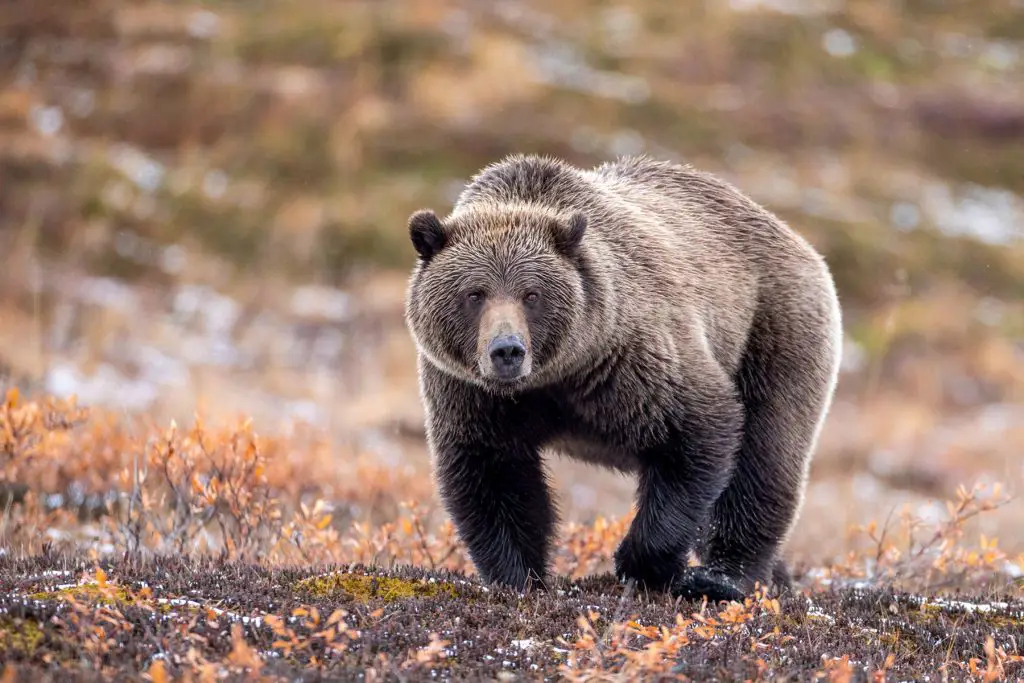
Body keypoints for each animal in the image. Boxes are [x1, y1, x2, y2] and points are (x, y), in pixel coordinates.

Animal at [403, 154, 843, 602]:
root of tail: (793, 236)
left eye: (531, 294)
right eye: (474, 294)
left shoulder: (632, 358)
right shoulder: (474, 394)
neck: (556, 377)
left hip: (773, 330)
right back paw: (778, 578)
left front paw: (643, 564)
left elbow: (697, 434)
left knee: (764, 457)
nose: (507, 350)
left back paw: (721, 579)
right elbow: (494, 475)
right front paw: (519, 578)